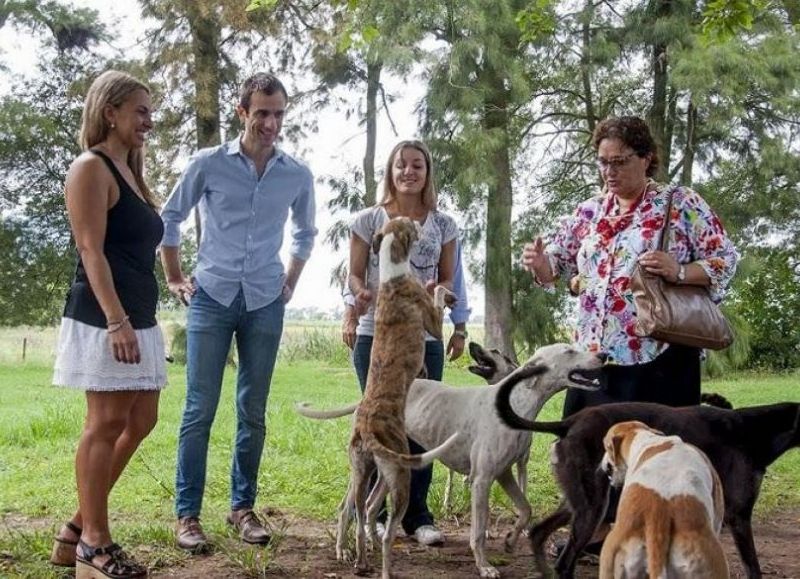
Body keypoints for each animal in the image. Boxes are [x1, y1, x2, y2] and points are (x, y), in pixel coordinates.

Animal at [332, 218, 456, 579]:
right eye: (410, 225)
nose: (416, 219)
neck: (392, 275)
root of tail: (368, 430)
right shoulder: (432, 321)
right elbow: (436, 297)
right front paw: (442, 290)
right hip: (399, 475)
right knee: (383, 527)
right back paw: (384, 563)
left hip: (365, 472)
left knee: (361, 514)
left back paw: (360, 559)